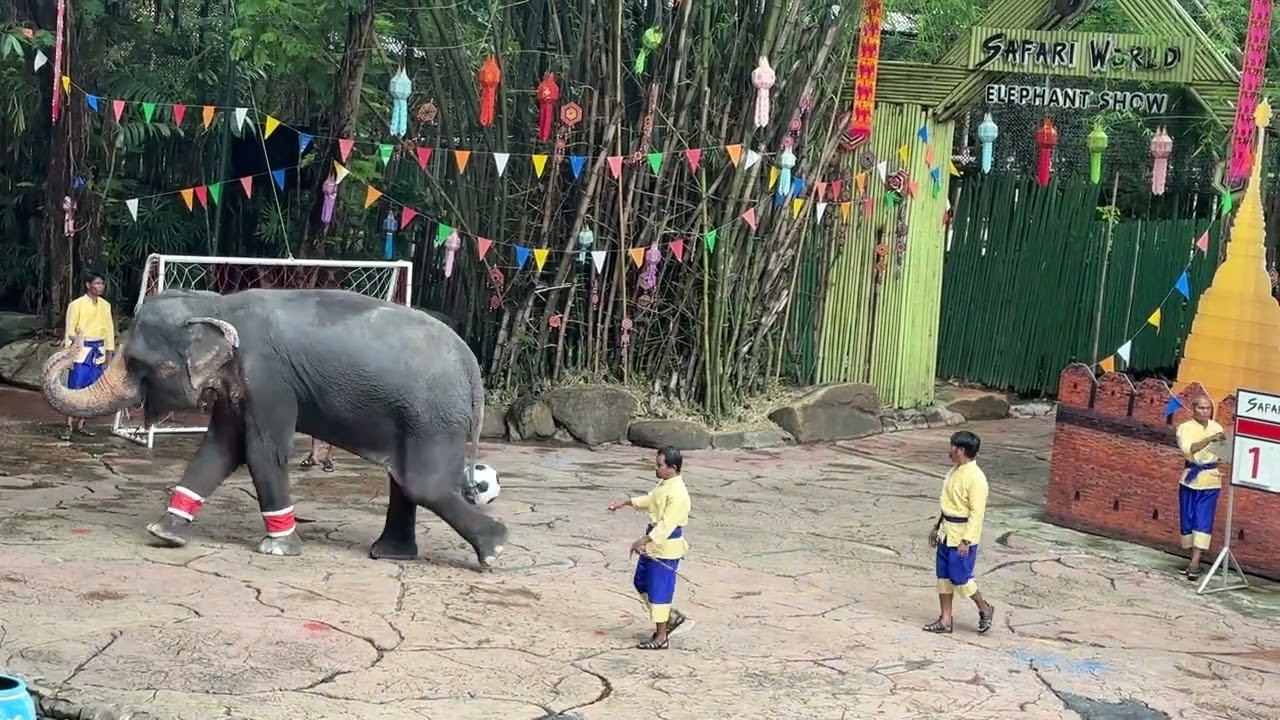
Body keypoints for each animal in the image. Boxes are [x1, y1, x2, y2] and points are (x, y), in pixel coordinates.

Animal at [41, 288, 508, 570]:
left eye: (140, 363)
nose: (74, 344)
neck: (218, 307)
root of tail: (473, 369)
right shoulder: (238, 385)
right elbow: (220, 448)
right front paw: (165, 534)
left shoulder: (270, 379)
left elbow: (263, 450)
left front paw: (279, 548)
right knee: (406, 480)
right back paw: (390, 555)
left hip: (433, 415)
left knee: (422, 482)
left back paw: (495, 549)